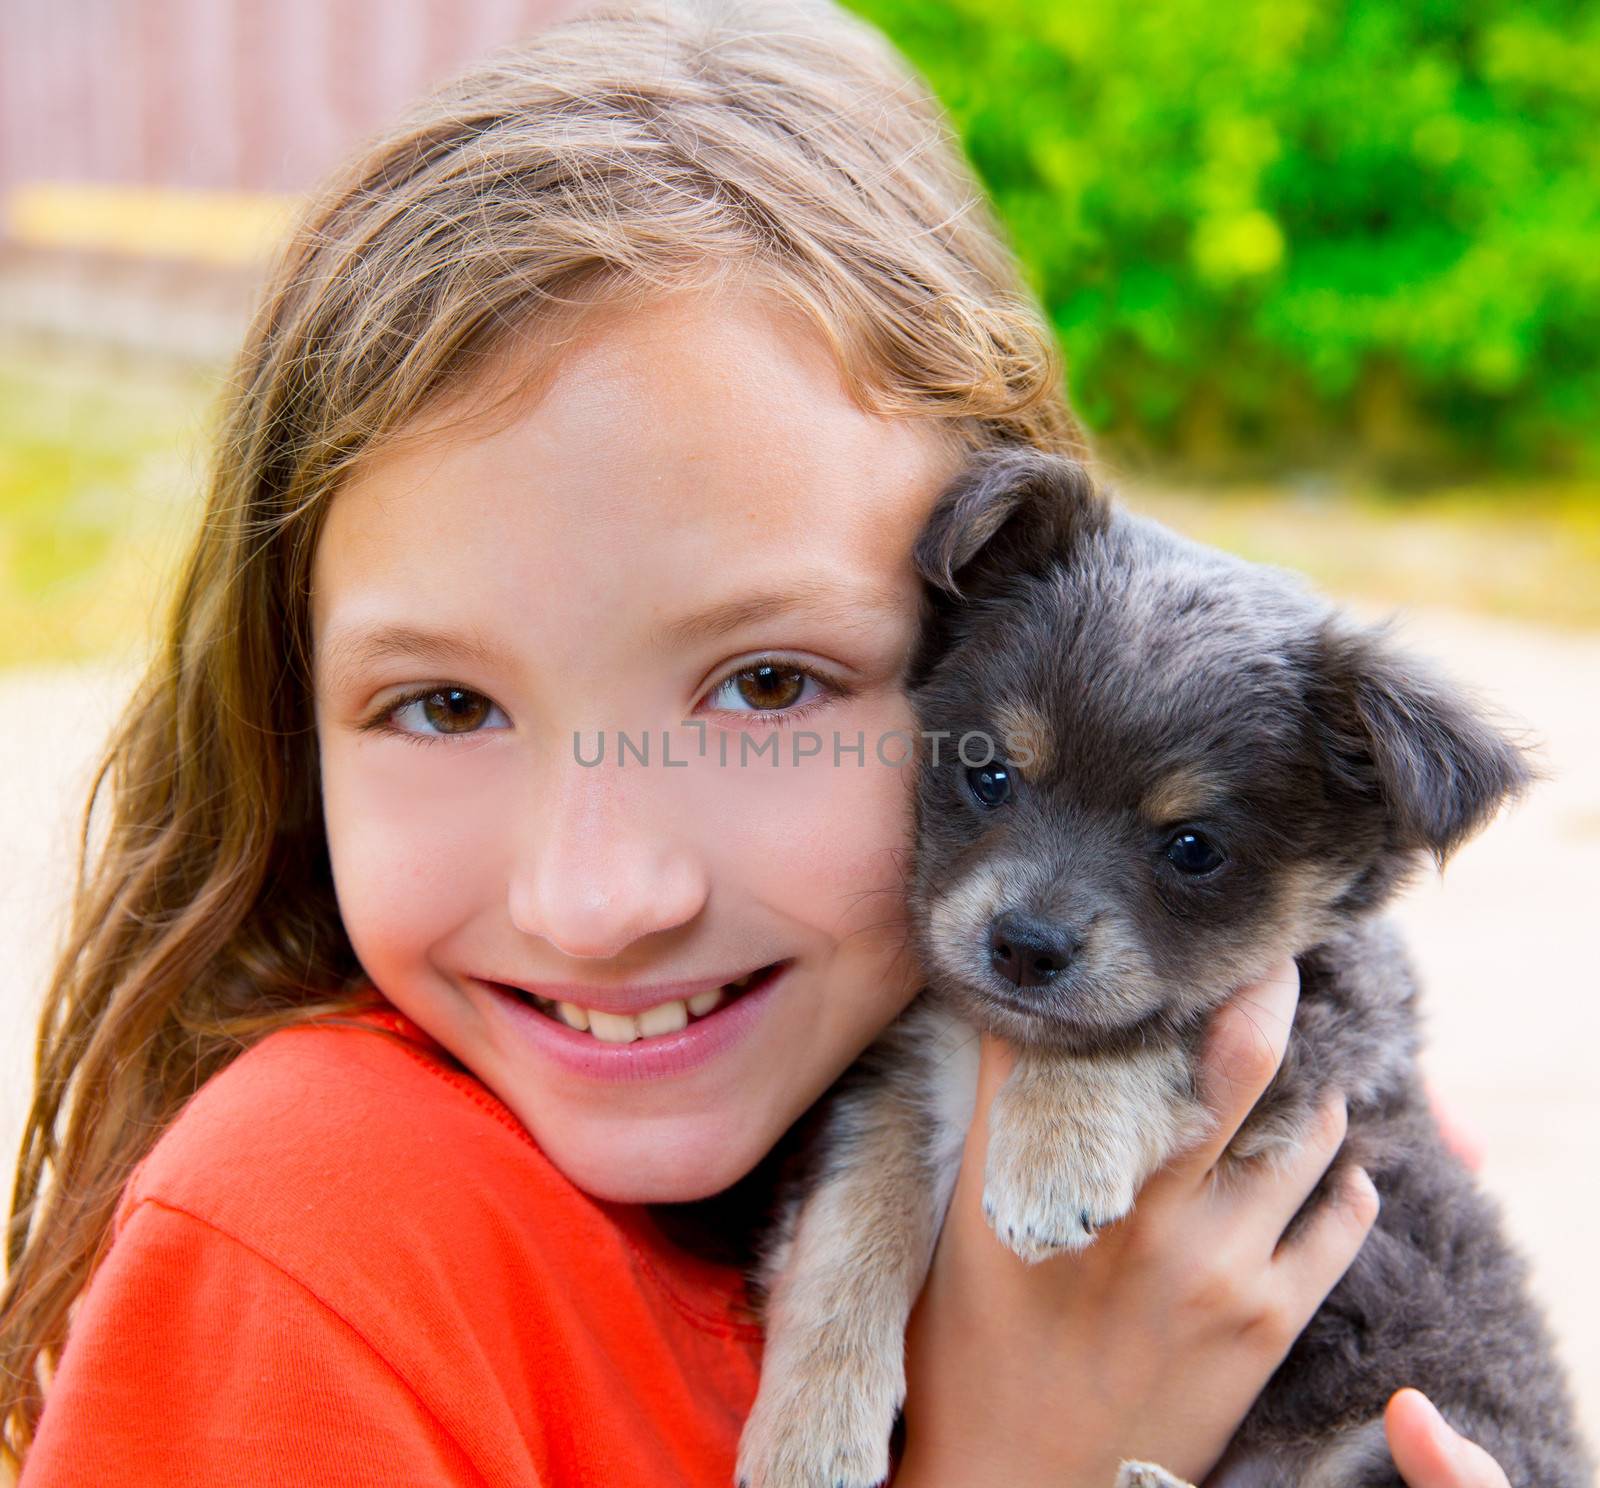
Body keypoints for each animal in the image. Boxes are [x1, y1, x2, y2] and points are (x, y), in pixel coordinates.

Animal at [732, 444, 1587, 1484]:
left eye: (1192, 848)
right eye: (990, 775)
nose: (1024, 947)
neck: (987, 1048)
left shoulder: (1323, 1028)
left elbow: (1154, 1020)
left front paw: (1055, 1149)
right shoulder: (894, 1079)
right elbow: (847, 1236)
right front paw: (809, 1431)